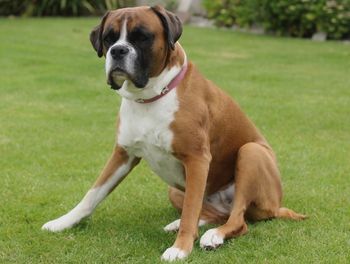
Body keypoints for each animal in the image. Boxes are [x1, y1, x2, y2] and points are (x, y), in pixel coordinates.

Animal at [41, 5, 306, 260]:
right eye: (109, 38)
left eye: (142, 37)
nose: (118, 50)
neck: (150, 97)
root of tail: (277, 206)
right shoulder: (123, 154)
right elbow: (93, 194)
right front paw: (63, 222)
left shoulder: (197, 160)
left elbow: (191, 210)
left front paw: (180, 248)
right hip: (176, 189)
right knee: (214, 212)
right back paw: (182, 224)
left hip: (250, 153)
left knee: (238, 220)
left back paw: (213, 236)